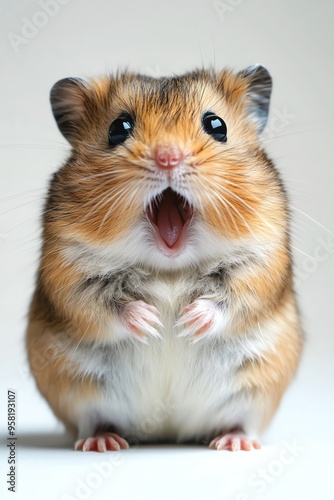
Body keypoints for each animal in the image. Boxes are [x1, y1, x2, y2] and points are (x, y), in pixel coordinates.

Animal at [26, 64, 302, 452]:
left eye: (217, 126)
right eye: (118, 128)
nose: (168, 157)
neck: (169, 267)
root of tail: (168, 431)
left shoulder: (262, 263)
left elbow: (231, 299)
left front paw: (186, 322)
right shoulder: (67, 270)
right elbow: (104, 304)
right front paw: (153, 322)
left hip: (259, 388)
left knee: (243, 421)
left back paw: (234, 443)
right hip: (75, 391)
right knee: (90, 420)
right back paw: (102, 442)